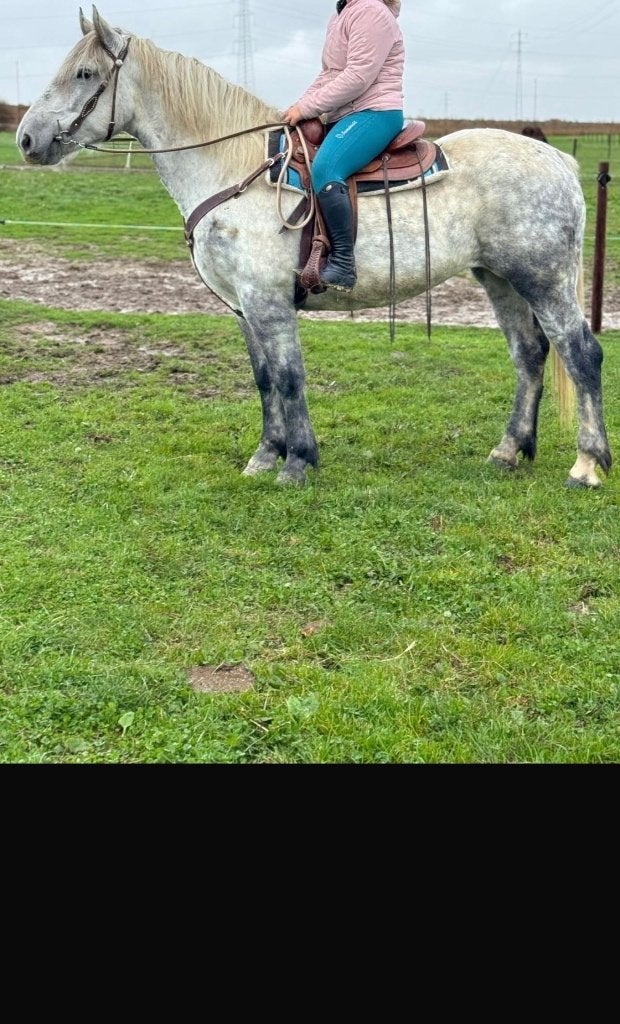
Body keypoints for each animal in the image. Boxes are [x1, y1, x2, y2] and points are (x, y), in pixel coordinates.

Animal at [16, 7, 612, 488]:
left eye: (85, 74)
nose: (26, 139)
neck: (233, 172)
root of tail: (557, 158)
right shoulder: (245, 308)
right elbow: (263, 380)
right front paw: (265, 457)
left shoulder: (270, 303)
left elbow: (288, 376)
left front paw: (298, 462)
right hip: (500, 279)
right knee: (529, 354)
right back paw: (509, 451)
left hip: (544, 279)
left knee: (581, 353)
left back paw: (587, 465)